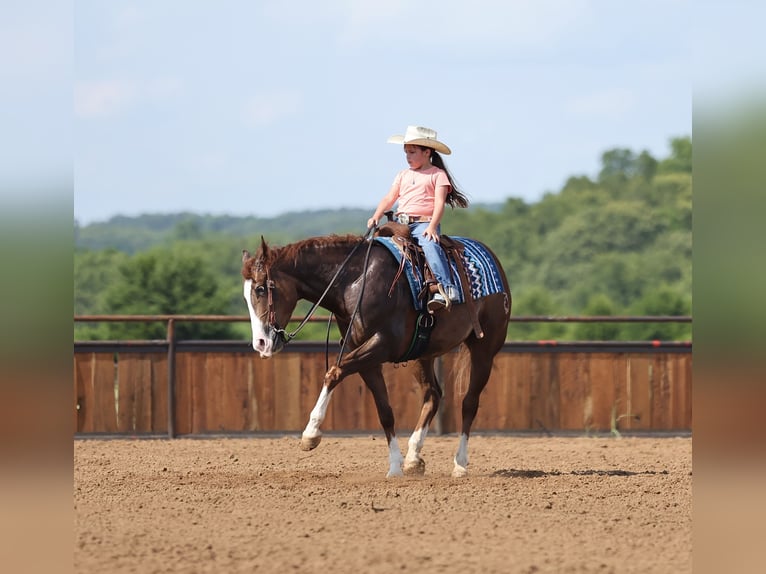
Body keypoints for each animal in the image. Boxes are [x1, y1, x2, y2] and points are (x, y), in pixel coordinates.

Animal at [241, 231, 511, 478]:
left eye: (261, 289)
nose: (261, 343)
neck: (354, 282)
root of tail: (493, 259)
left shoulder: (381, 346)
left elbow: (333, 373)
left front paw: (311, 434)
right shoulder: (366, 358)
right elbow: (385, 412)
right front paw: (395, 466)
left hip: (484, 350)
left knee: (469, 402)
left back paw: (460, 464)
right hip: (423, 355)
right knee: (433, 395)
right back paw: (413, 458)